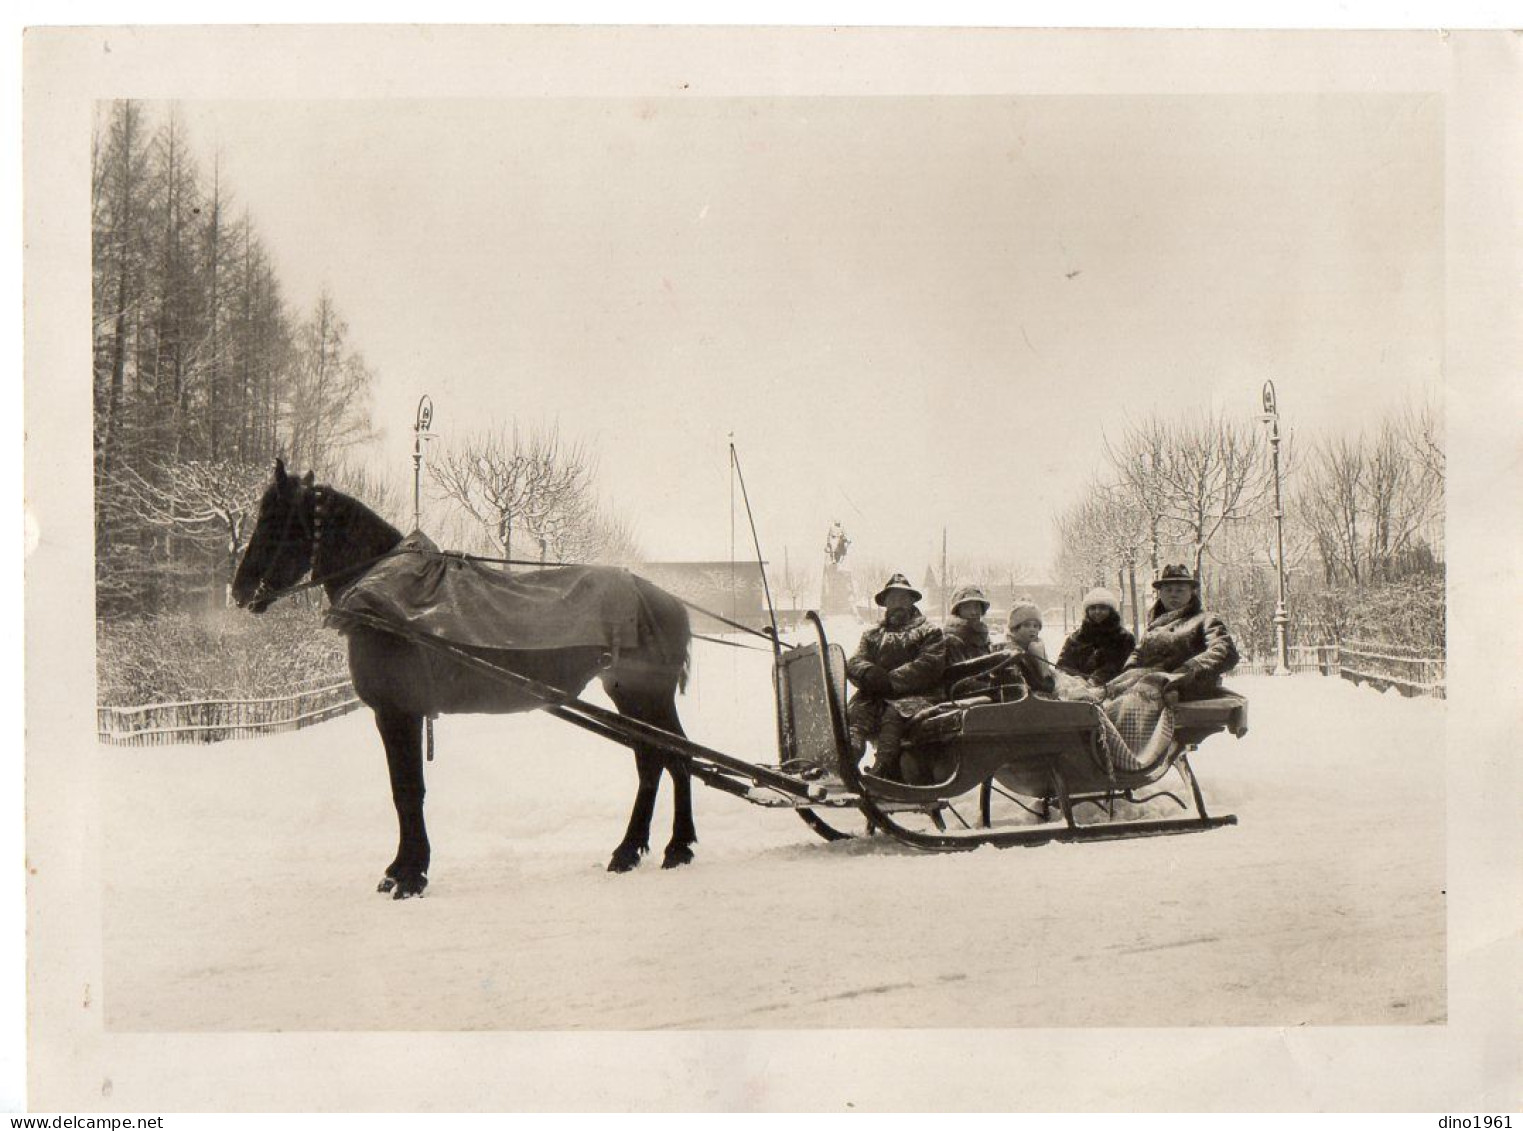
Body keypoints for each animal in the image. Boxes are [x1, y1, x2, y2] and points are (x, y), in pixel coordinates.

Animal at [229, 459, 697, 901]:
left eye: (273, 518)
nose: (238, 591)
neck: (386, 597)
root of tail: (668, 602)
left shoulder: (397, 713)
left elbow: (407, 790)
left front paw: (411, 875)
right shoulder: (399, 713)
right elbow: (403, 791)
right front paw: (399, 869)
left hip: (645, 694)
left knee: (673, 756)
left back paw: (674, 847)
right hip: (629, 696)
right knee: (657, 759)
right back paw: (635, 850)